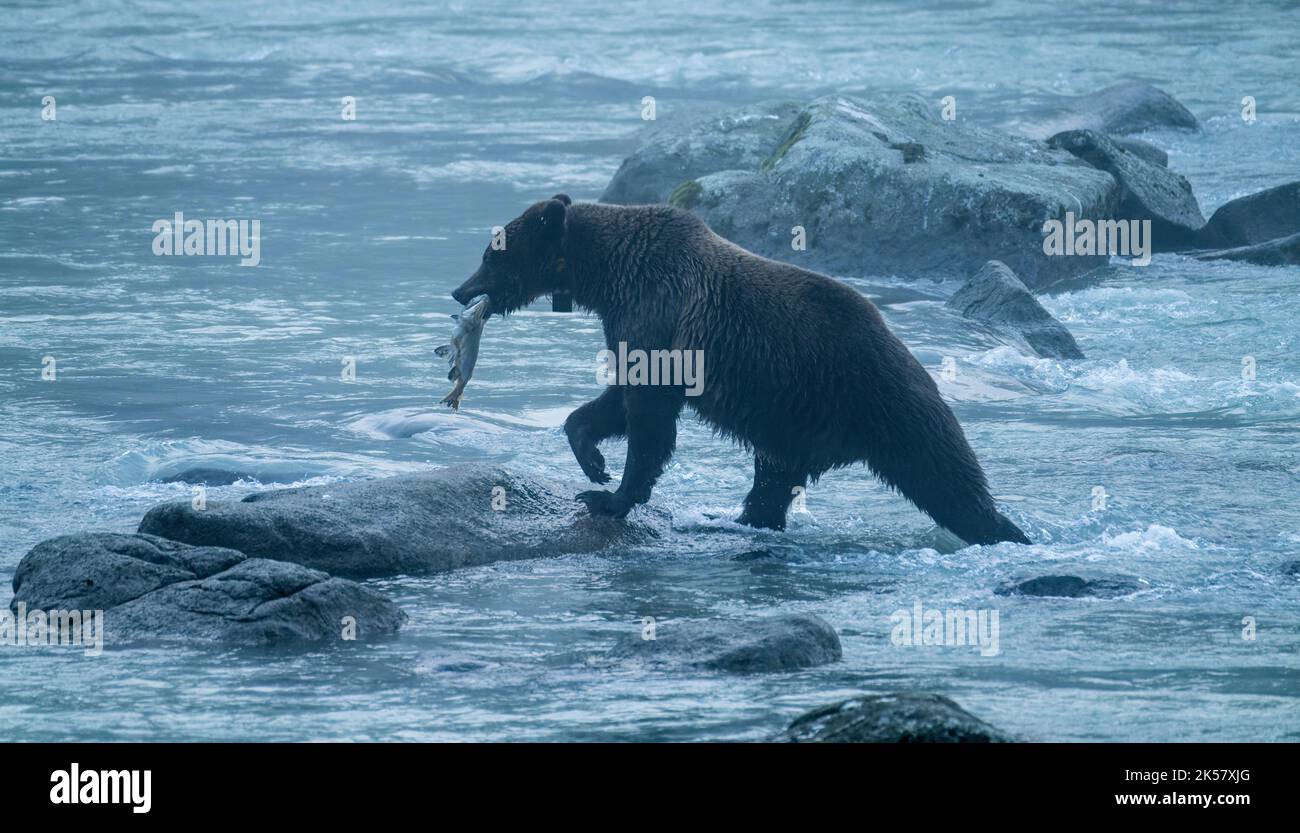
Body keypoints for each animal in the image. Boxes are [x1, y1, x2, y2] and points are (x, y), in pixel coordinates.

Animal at [452, 194, 1029, 545]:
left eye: (492, 253)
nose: (460, 290)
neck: (609, 273)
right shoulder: (635, 323)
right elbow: (618, 397)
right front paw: (593, 462)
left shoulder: (658, 312)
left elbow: (648, 412)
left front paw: (609, 495)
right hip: (794, 423)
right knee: (773, 480)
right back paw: (740, 520)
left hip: (876, 397)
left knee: (943, 474)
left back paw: (1003, 529)